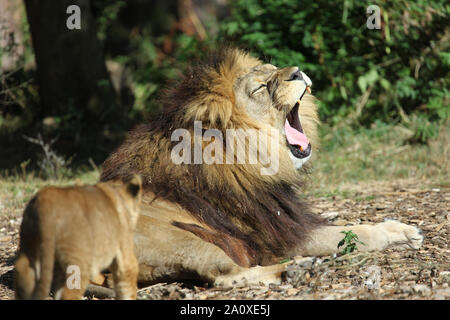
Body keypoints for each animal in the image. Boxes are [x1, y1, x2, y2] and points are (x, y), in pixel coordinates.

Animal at [101, 47, 422, 284]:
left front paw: (402, 230)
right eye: (259, 88)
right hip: (184, 240)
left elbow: (355, 227)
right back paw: (297, 268)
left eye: (274, 70)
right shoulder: (279, 235)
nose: (297, 71)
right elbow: (353, 234)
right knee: (225, 275)